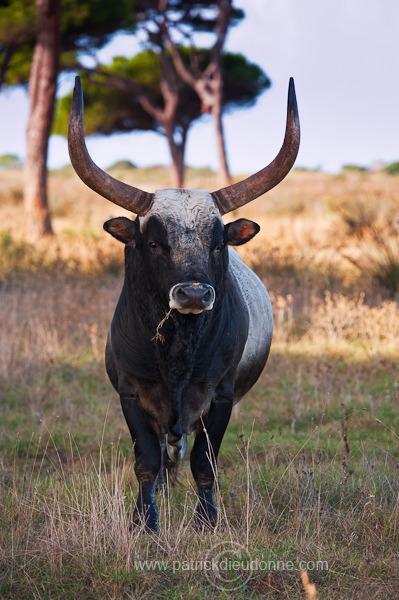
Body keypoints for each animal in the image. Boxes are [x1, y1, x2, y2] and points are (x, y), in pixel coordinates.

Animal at [68, 76, 300, 528]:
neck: (177, 347)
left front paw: (206, 520)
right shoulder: (131, 394)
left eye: (218, 243)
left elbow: (204, 463)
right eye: (154, 243)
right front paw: (144, 522)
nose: (193, 294)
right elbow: (145, 460)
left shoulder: (220, 397)